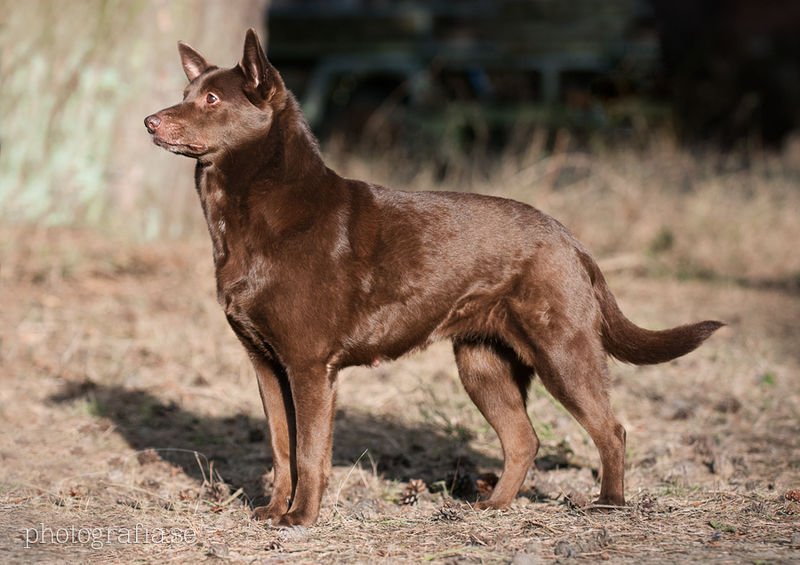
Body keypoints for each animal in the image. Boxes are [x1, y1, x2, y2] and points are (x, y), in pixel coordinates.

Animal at [145, 28, 724, 528]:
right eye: (185, 93)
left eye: (212, 100)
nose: (150, 121)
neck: (255, 213)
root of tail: (572, 241)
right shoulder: (265, 362)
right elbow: (281, 446)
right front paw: (271, 512)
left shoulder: (309, 366)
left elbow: (309, 452)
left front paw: (301, 520)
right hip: (482, 363)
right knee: (524, 440)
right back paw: (494, 507)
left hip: (563, 352)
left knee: (611, 430)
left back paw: (608, 504)